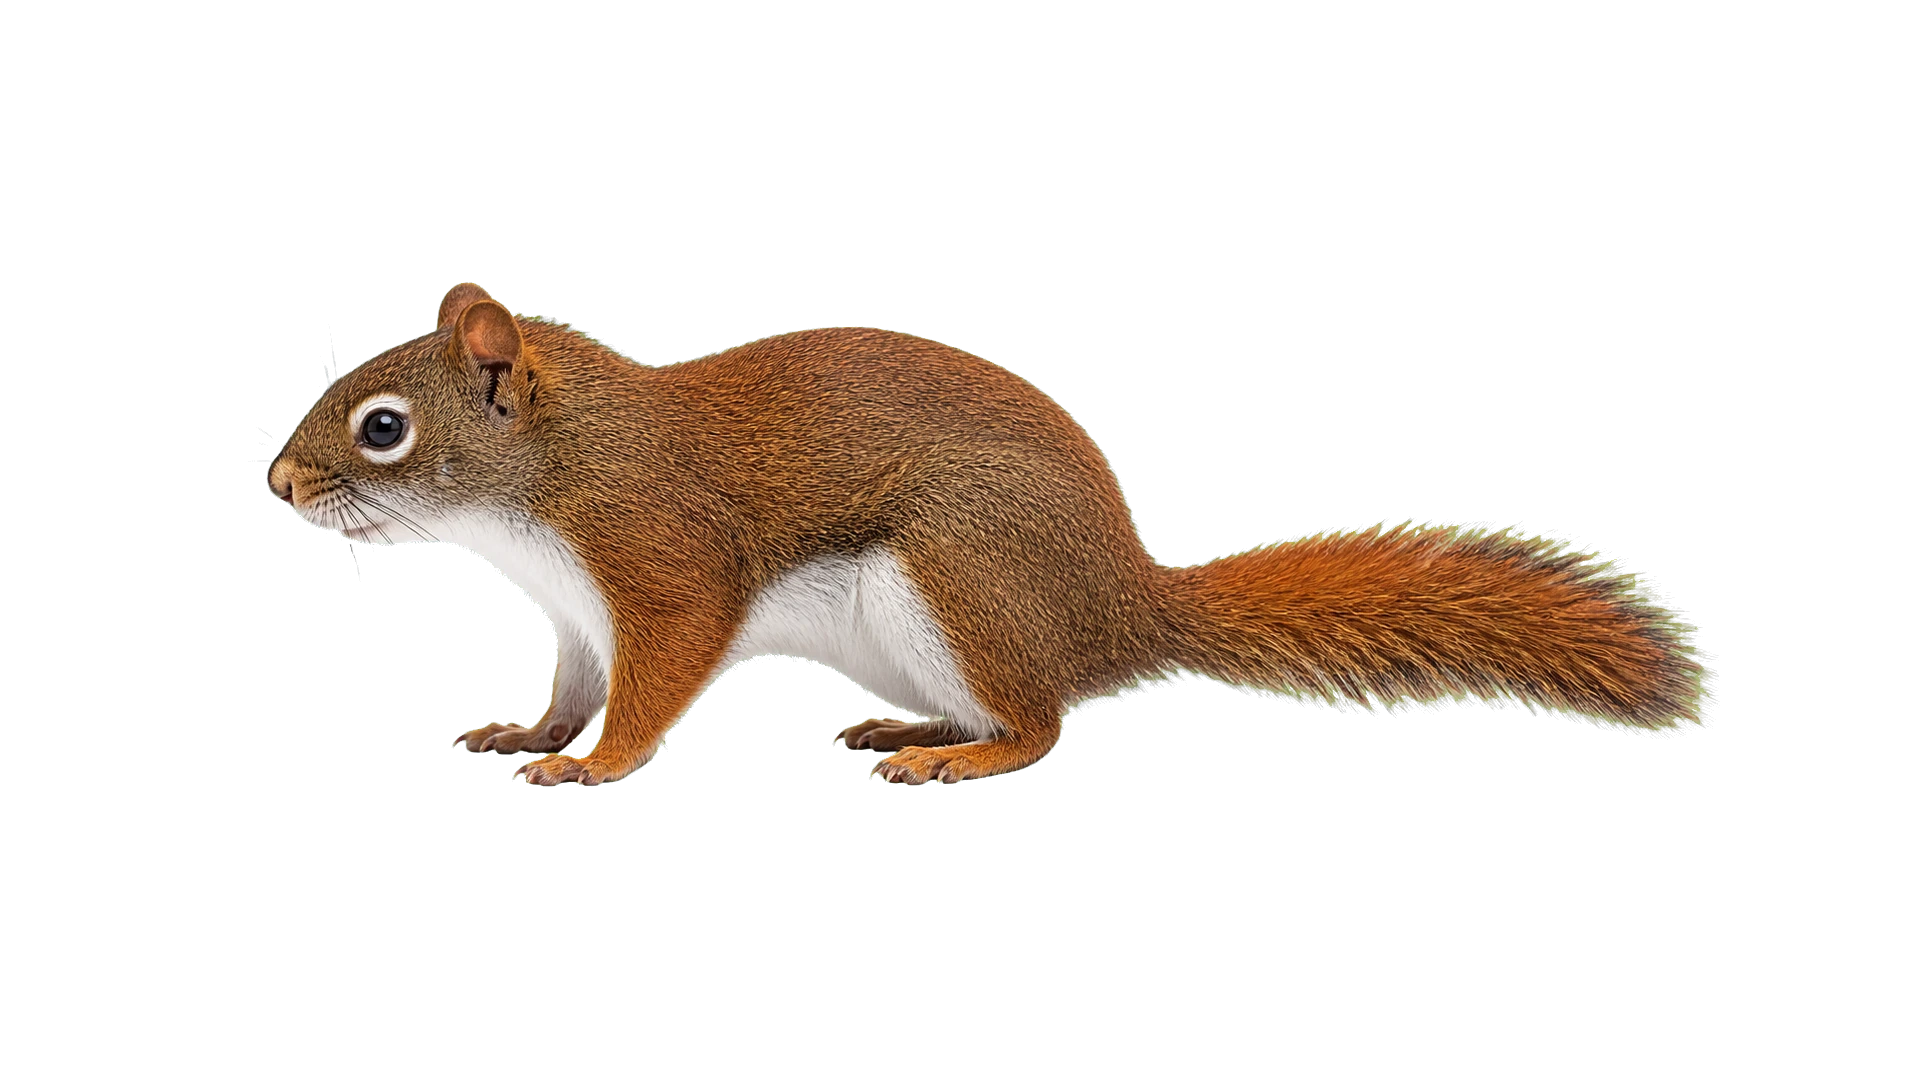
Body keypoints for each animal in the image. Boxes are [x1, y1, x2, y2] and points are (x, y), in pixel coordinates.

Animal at [268, 283, 1714, 785]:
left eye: (383, 427)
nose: (280, 484)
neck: (555, 476)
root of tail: (1125, 606)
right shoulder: (576, 611)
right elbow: (570, 684)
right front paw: (530, 733)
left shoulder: (661, 564)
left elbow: (658, 681)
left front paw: (595, 766)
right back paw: (907, 727)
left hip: (959, 575)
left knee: (1037, 726)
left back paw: (955, 758)